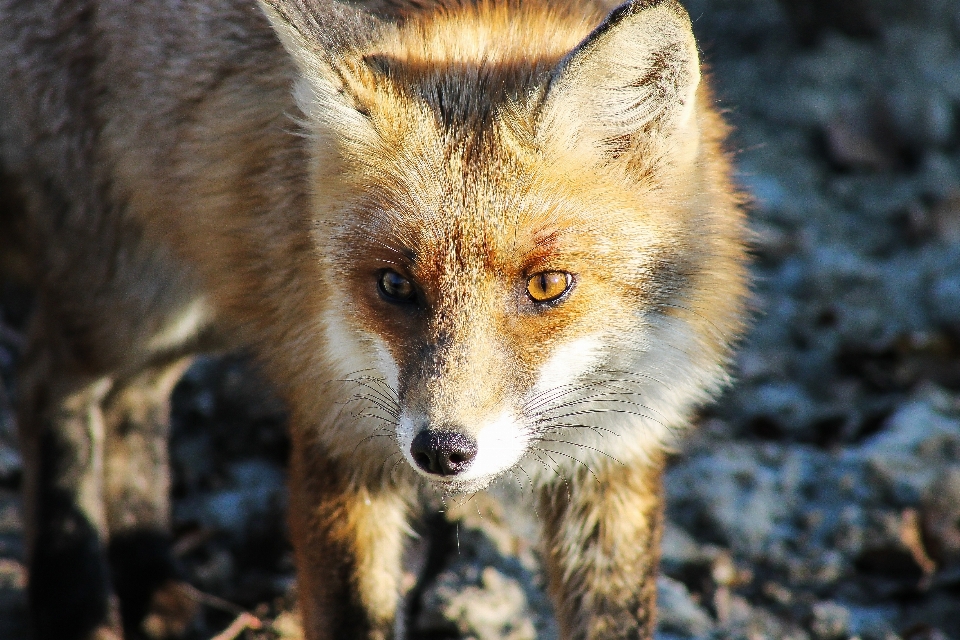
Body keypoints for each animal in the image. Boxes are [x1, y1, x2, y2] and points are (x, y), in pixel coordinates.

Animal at [0, 0, 752, 636]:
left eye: (548, 285)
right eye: (394, 285)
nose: (442, 450)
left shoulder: (615, 457)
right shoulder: (337, 433)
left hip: (210, 296)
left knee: (133, 402)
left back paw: (150, 576)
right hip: (131, 304)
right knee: (46, 387)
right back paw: (75, 601)